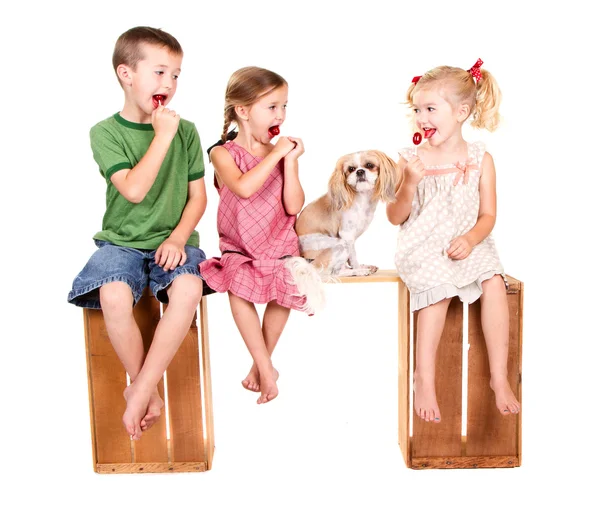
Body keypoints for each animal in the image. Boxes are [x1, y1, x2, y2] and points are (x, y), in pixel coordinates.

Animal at [296, 148, 398, 276]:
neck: (362, 198)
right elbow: (353, 257)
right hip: (339, 245)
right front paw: (358, 268)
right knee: (336, 272)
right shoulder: (347, 235)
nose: (359, 171)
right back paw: (358, 271)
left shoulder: (350, 240)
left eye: (369, 165)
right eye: (351, 169)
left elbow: (350, 257)